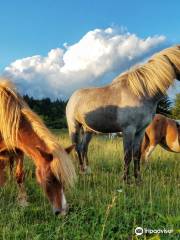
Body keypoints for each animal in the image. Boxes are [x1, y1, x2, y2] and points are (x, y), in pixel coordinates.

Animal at [65, 45, 180, 183]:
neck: (141, 93)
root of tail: (73, 97)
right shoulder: (128, 130)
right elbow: (127, 155)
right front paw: (126, 181)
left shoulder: (140, 131)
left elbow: (136, 155)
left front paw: (138, 181)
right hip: (74, 126)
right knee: (77, 147)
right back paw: (81, 172)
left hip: (89, 130)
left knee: (83, 147)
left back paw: (87, 171)